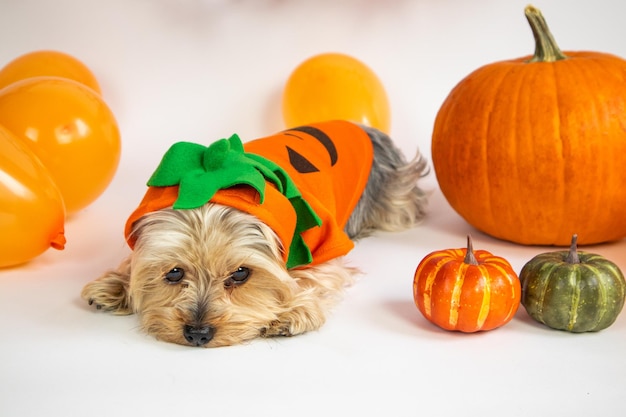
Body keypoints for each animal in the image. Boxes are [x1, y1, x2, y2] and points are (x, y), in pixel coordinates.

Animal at [80, 118, 426, 346]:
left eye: (241, 274)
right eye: (174, 273)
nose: (197, 334)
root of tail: (363, 126)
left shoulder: (326, 242)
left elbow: (314, 274)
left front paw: (292, 310)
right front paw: (117, 284)